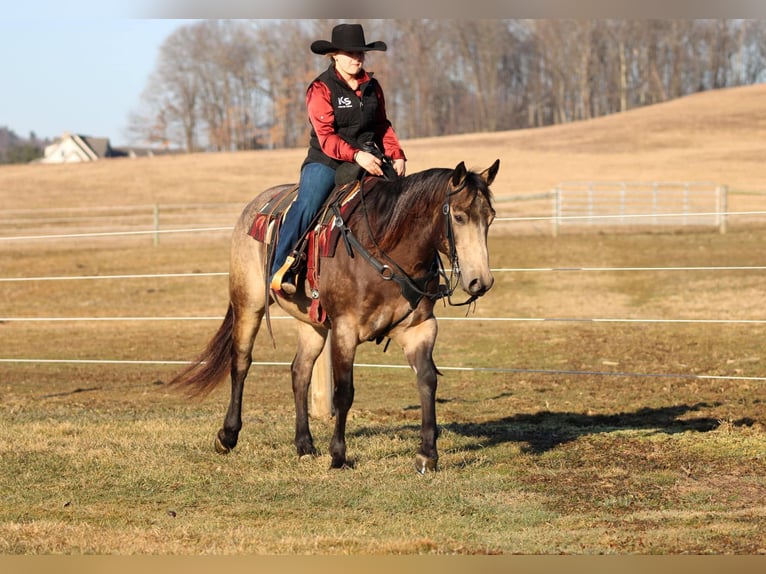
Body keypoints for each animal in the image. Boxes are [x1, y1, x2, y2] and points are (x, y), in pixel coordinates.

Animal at [170, 160, 500, 474]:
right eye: (459, 217)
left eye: (490, 217)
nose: (480, 282)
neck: (386, 248)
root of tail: (254, 207)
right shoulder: (345, 329)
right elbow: (344, 392)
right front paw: (339, 455)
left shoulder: (420, 328)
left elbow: (428, 380)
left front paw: (427, 455)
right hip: (248, 304)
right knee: (240, 362)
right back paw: (227, 436)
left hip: (311, 323)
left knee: (300, 372)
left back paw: (304, 444)